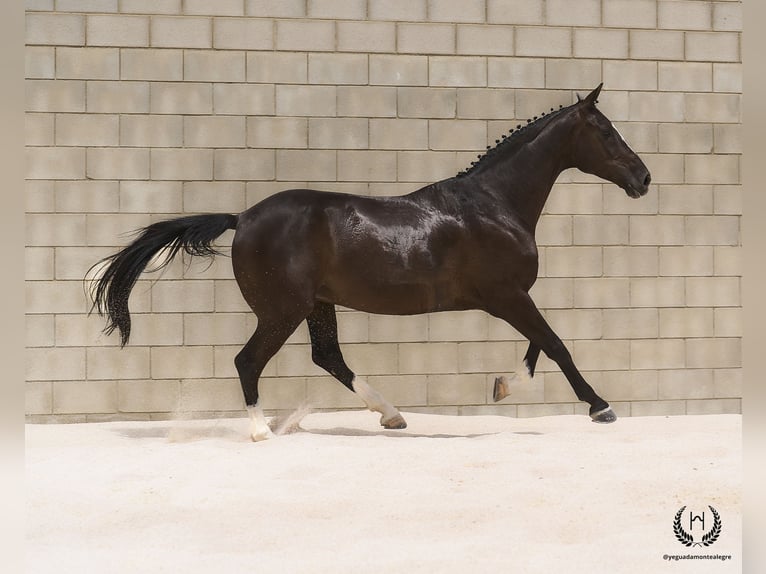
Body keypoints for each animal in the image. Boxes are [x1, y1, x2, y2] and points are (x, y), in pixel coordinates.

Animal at [90, 83, 656, 444]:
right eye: (607, 132)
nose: (644, 178)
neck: (494, 204)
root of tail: (243, 217)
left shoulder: (513, 297)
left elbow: (538, 346)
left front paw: (502, 386)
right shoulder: (507, 297)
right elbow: (556, 344)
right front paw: (600, 407)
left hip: (316, 306)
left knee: (329, 358)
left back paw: (392, 416)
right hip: (282, 311)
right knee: (249, 361)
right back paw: (261, 430)